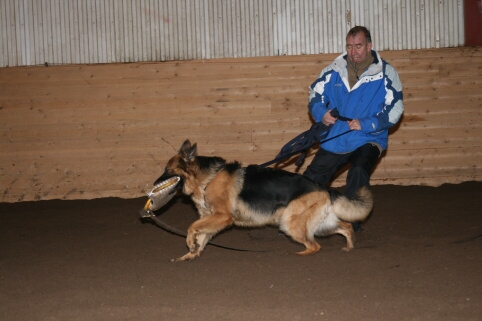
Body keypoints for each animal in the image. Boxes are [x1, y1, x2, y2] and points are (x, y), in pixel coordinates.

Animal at [158, 139, 372, 260]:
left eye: (168, 171)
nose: (153, 184)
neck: (209, 178)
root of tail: (323, 188)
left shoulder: (222, 216)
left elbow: (192, 227)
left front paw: (190, 244)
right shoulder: (211, 218)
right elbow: (201, 235)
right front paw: (191, 254)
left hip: (290, 223)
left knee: (315, 246)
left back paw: (297, 255)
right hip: (320, 224)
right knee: (346, 226)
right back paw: (350, 247)